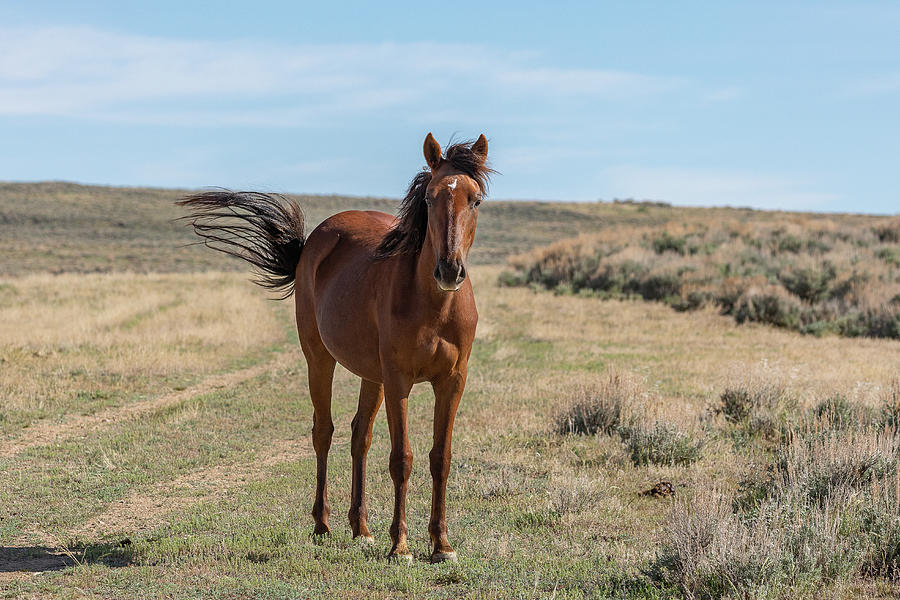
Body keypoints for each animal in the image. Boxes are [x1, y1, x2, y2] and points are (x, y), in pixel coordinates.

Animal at [178, 132, 492, 564]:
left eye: (475, 200)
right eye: (429, 199)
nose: (449, 270)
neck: (434, 304)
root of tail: (317, 238)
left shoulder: (452, 382)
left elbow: (439, 458)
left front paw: (441, 544)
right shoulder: (399, 381)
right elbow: (402, 458)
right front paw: (401, 546)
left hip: (371, 375)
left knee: (360, 437)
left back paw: (361, 529)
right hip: (320, 359)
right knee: (323, 432)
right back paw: (322, 525)